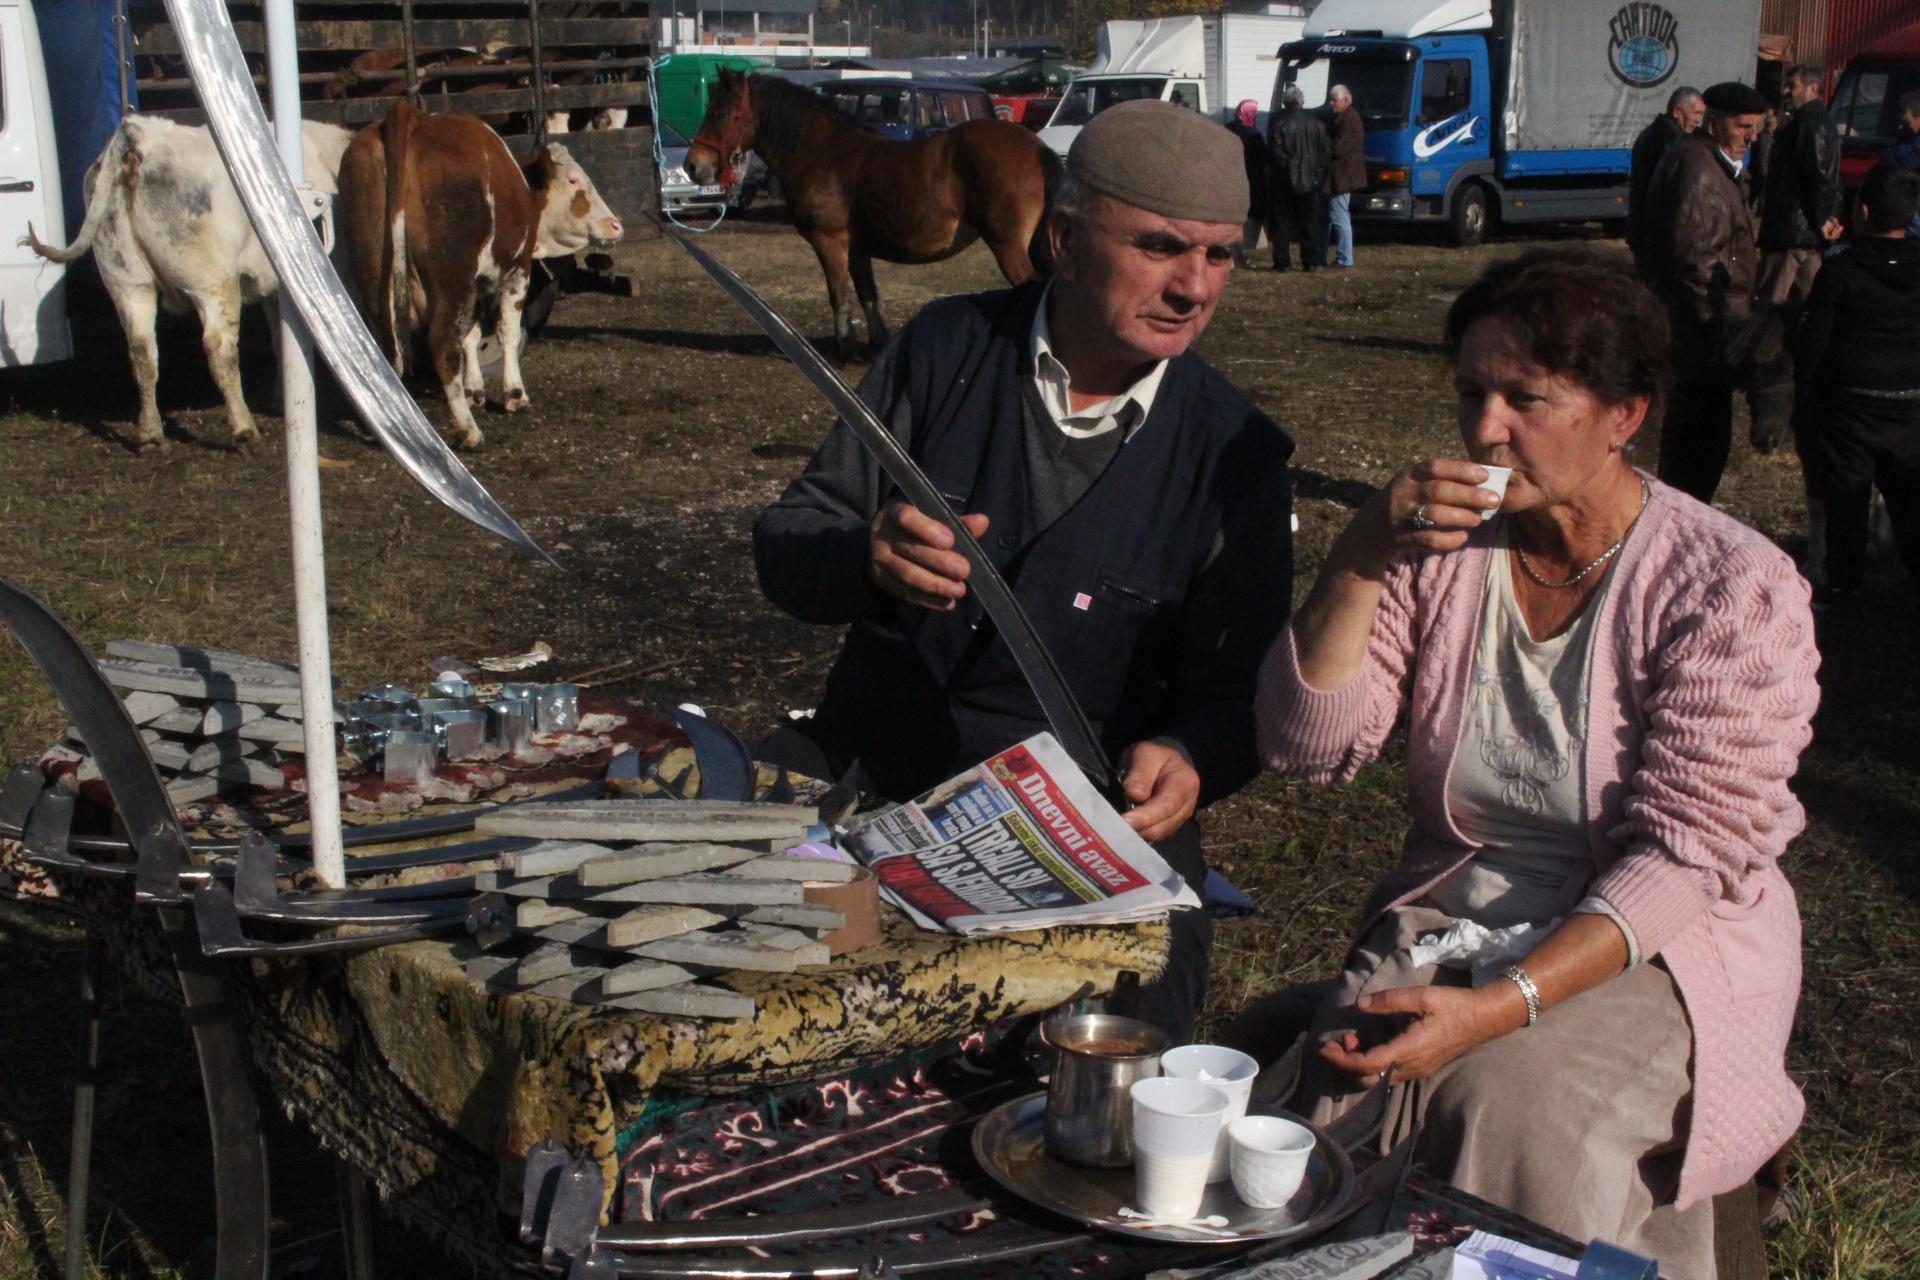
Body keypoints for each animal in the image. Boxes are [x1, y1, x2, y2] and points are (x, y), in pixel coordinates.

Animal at [22, 115, 355, 452]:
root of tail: (139, 134)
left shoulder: (274, 291)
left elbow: (281, 339)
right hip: (213, 281)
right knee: (219, 348)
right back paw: (243, 429)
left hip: (126, 280)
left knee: (141, 350)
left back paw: (150, 434)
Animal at [337, 102, 622, 450]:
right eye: (573, 181)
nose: (615, 225)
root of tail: (409, 115)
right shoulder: (517, 272)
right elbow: (506, 332)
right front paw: (514, 394)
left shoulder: (475, 285)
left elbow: (471, 335)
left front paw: (474, 389)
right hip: (450, 278)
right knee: (443, 343)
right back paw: (467, 429)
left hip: (374, 274)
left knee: (384, 344)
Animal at [687, 72, 1067, 358]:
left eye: (720, 114)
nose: (692, 166)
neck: (822, 152)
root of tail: (1038, 148)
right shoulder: (857, 250)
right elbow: (868, 295)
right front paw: (876, 346)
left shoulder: (829, 242)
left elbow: (838, 294)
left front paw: (843, 350)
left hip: (1009, 247)